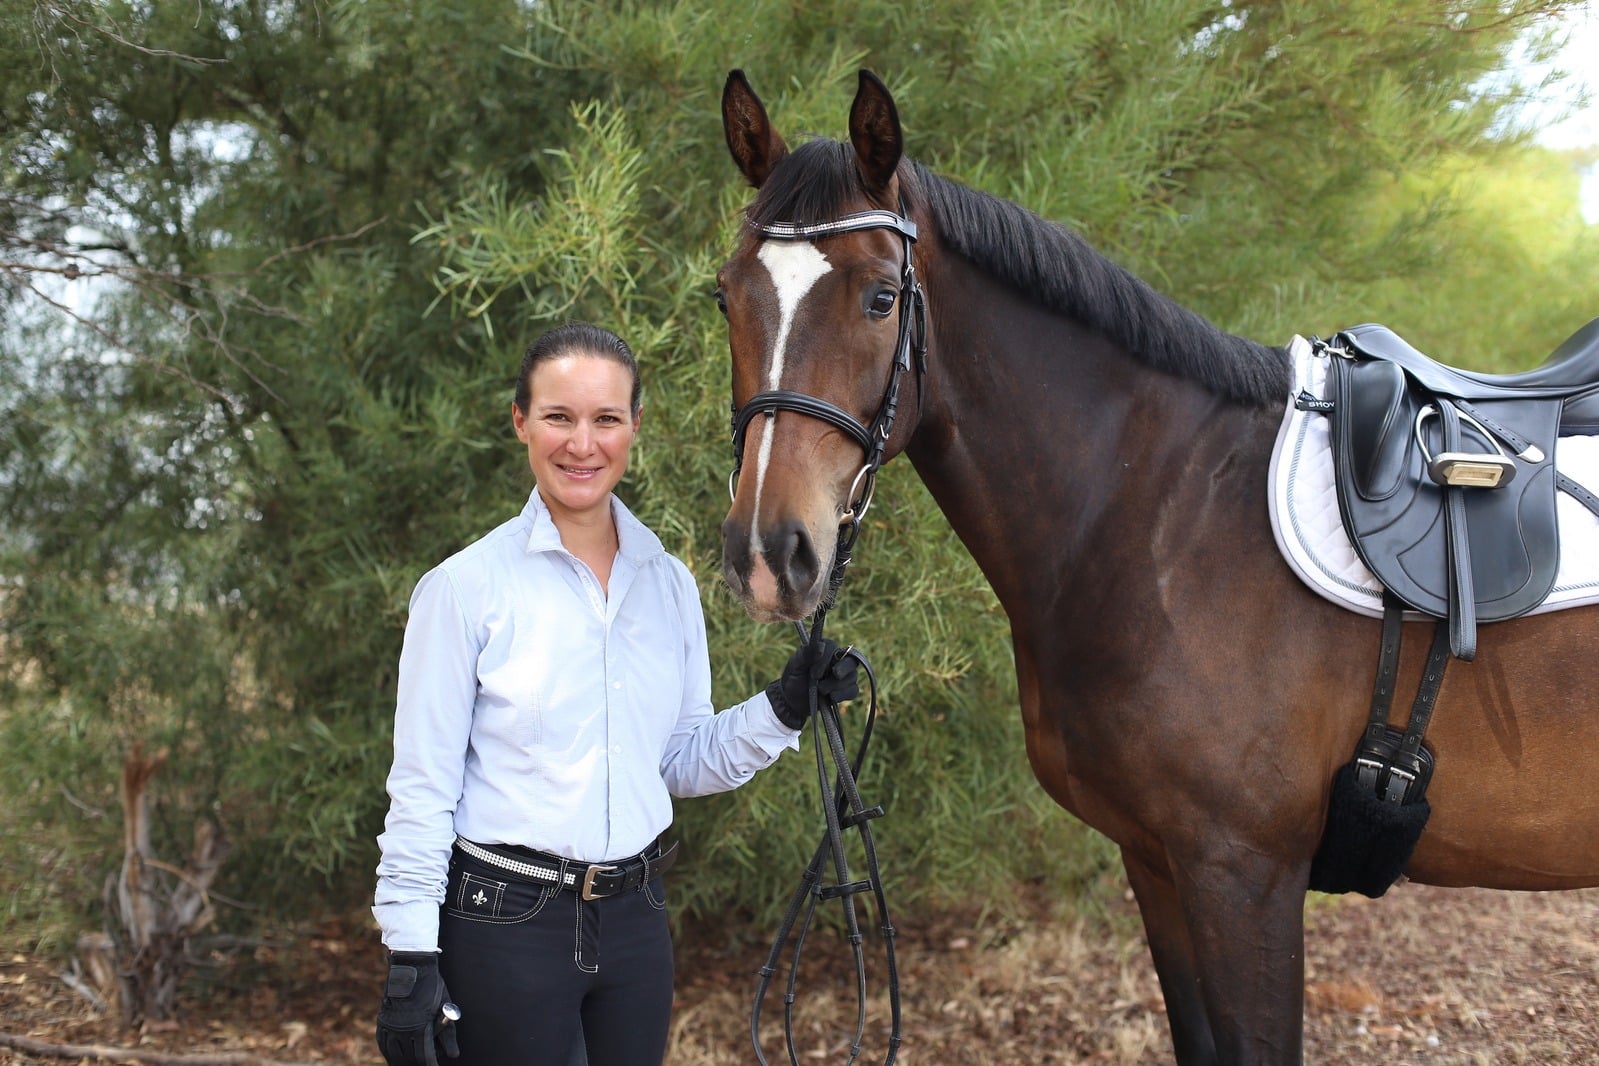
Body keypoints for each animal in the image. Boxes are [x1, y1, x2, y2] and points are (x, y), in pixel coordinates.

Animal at [713, 68, 1599, 1064]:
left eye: (877, 298)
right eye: (725, 298)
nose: (767, 552)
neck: (1164, 520)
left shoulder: (1242, 874)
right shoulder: (1156, 861)